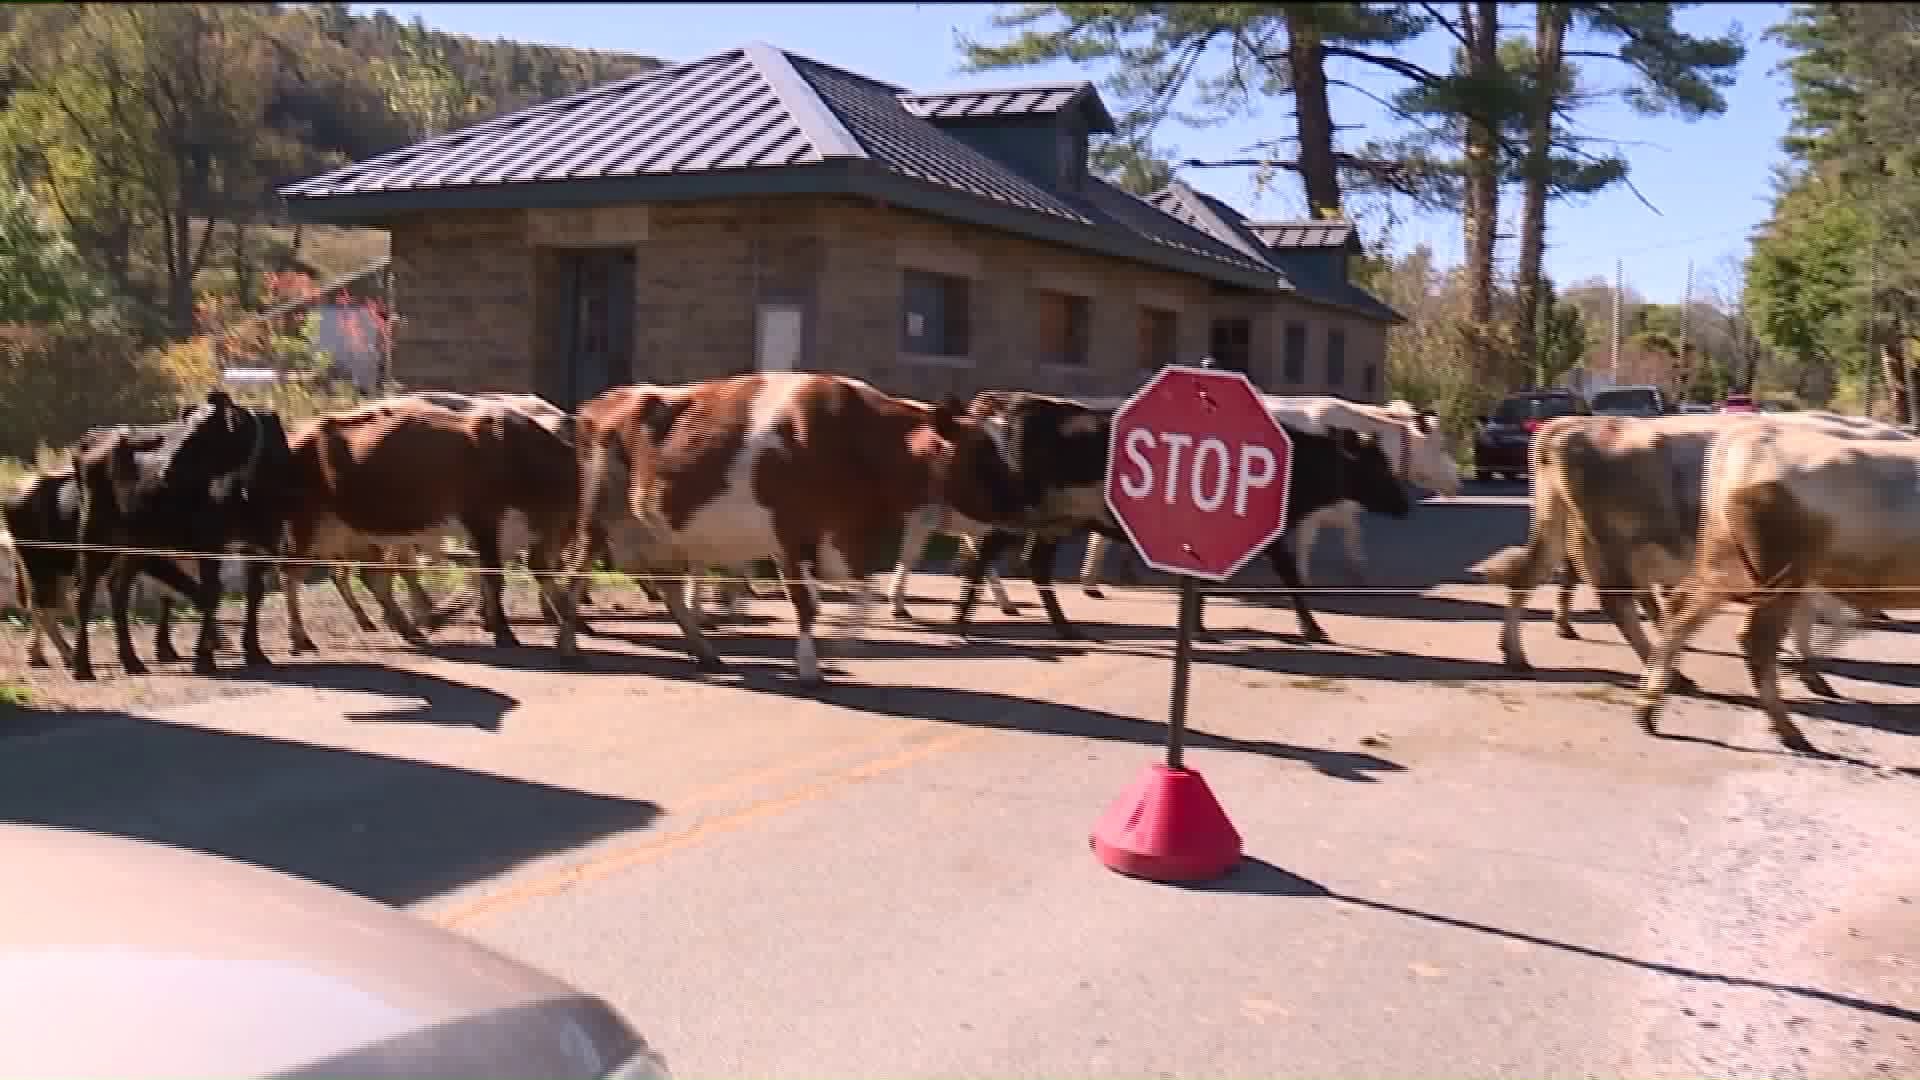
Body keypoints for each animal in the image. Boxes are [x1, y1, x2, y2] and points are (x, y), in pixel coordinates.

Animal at [276, 393, 576, 645]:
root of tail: (299, 433)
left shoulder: (523, 532)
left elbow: (523, 574)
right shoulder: (484, 521)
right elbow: (494, 578)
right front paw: (503, 632)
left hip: (352, 529)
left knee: (370, 576)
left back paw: (406, 628)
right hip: (309, 523)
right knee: (291, 572)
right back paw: (300, 637)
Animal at [556, 374, 1029, 676]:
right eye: (981, 456)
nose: (1023, 509)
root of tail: (599, 402)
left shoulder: (840, 539)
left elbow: (862, 594)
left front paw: (841, 644)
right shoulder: (790, 532)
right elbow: (805, 603)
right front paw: (809, 666)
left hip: (657, 531)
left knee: (669, 590)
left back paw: (704, 651)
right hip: (597, 516)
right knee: (576, 574)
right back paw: (568, 646)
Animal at [1466, 407, 1904, 691]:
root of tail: (1569, 427)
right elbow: (1817, 620)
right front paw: (1810, 669)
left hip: (1559, 525)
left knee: (1528, 577)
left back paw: (1515, 654)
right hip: (1615, 541)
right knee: (1617, 602)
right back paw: (1670, 672)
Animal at [1628, 417, 1920, 753]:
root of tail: (1748, 435)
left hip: (1725, 562)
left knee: (1681, 615)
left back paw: (1647, 709)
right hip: (1780, 572)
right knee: (1756, 640)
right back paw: (1790, 730)